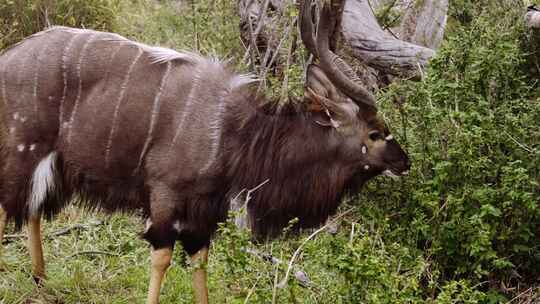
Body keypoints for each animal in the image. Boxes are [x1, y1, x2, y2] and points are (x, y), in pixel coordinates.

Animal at [0, 1, 410, 302]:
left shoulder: (204, 213)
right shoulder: (165, 195)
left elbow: (199, 261)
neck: (236, 133)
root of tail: (8, 57)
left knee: (31, 208)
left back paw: (40, 279)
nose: (404, 161)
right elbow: (162, 256)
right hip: (21, 149)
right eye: (375, 133)